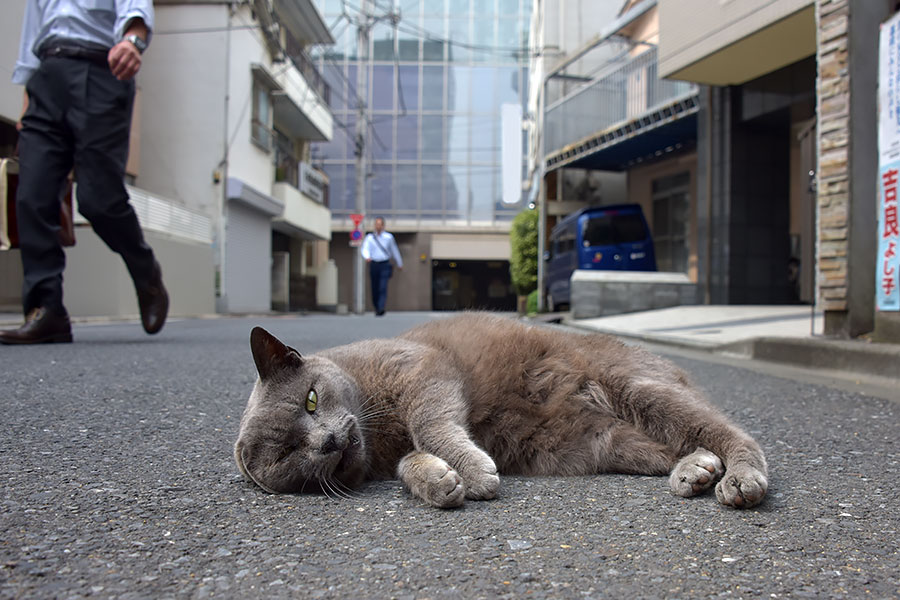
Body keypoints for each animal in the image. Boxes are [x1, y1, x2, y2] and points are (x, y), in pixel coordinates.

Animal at [236, 312, 768, 508]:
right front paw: (440, 482)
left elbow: (430, 424)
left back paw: (739, 479)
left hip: (638, 388)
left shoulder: (424, 370)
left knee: (736, 435)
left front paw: (472, 472)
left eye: (310, 399)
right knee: (673, 448)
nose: (327, 441)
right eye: (287, 454)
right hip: (609, 442)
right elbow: (411, 461)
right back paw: (695, 470)